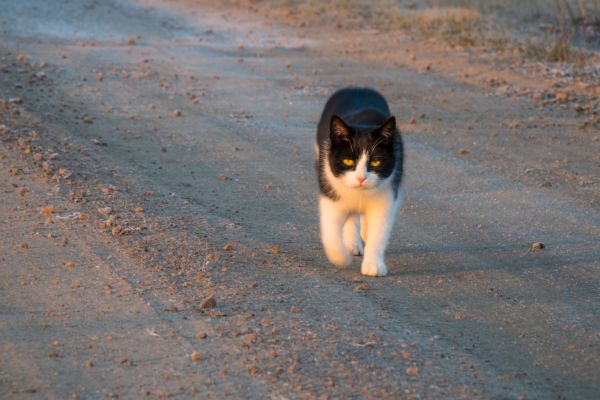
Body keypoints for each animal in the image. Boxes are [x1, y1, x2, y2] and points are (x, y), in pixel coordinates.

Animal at [314, 87, 404, 276]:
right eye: (348, 161)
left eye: (376, 162)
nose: (361, 178)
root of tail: (358, 88)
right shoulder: (330, 192)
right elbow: (330, 233)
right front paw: (342, 258)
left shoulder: (387, 196)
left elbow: (379, 233)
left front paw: (373, 265)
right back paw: (352, 244)